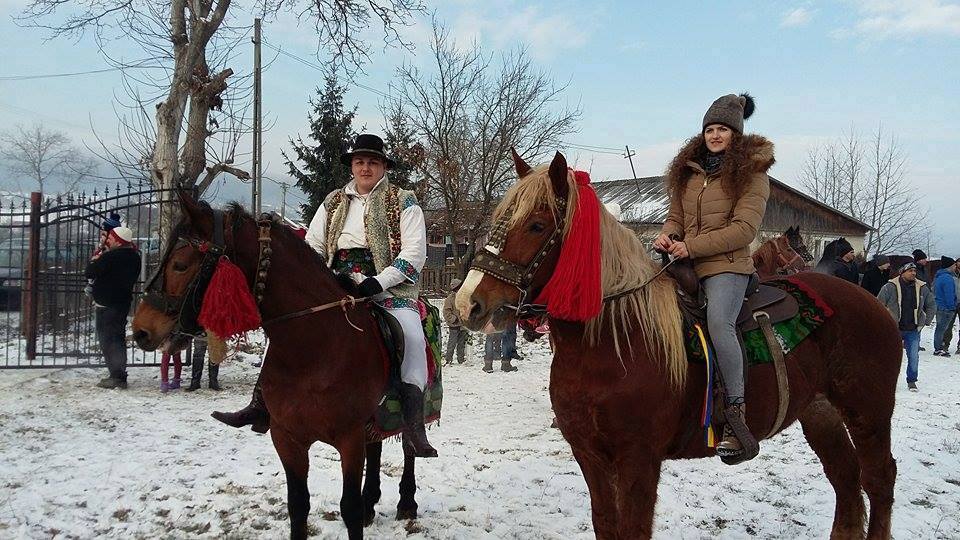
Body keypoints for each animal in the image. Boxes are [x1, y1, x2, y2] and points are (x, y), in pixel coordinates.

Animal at [130, 194, 420, 540]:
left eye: (180, 265)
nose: (141, 330)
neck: (314, 353)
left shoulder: (349, 439)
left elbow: (348, 508)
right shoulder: (287, 438)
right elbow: (298, 505)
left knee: (410, 445)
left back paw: (407, 501)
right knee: (376, 446)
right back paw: (372, 503)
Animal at [458, 152, 900, 540]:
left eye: (536, 225)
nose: (466, 304)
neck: (614, 344)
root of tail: (871, 302)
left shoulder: (638, 459)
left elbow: (632, 529)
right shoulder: (590, 456)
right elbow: (606, 524)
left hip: (869, 413)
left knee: (879, 479)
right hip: (820, 412)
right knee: (845, 477)